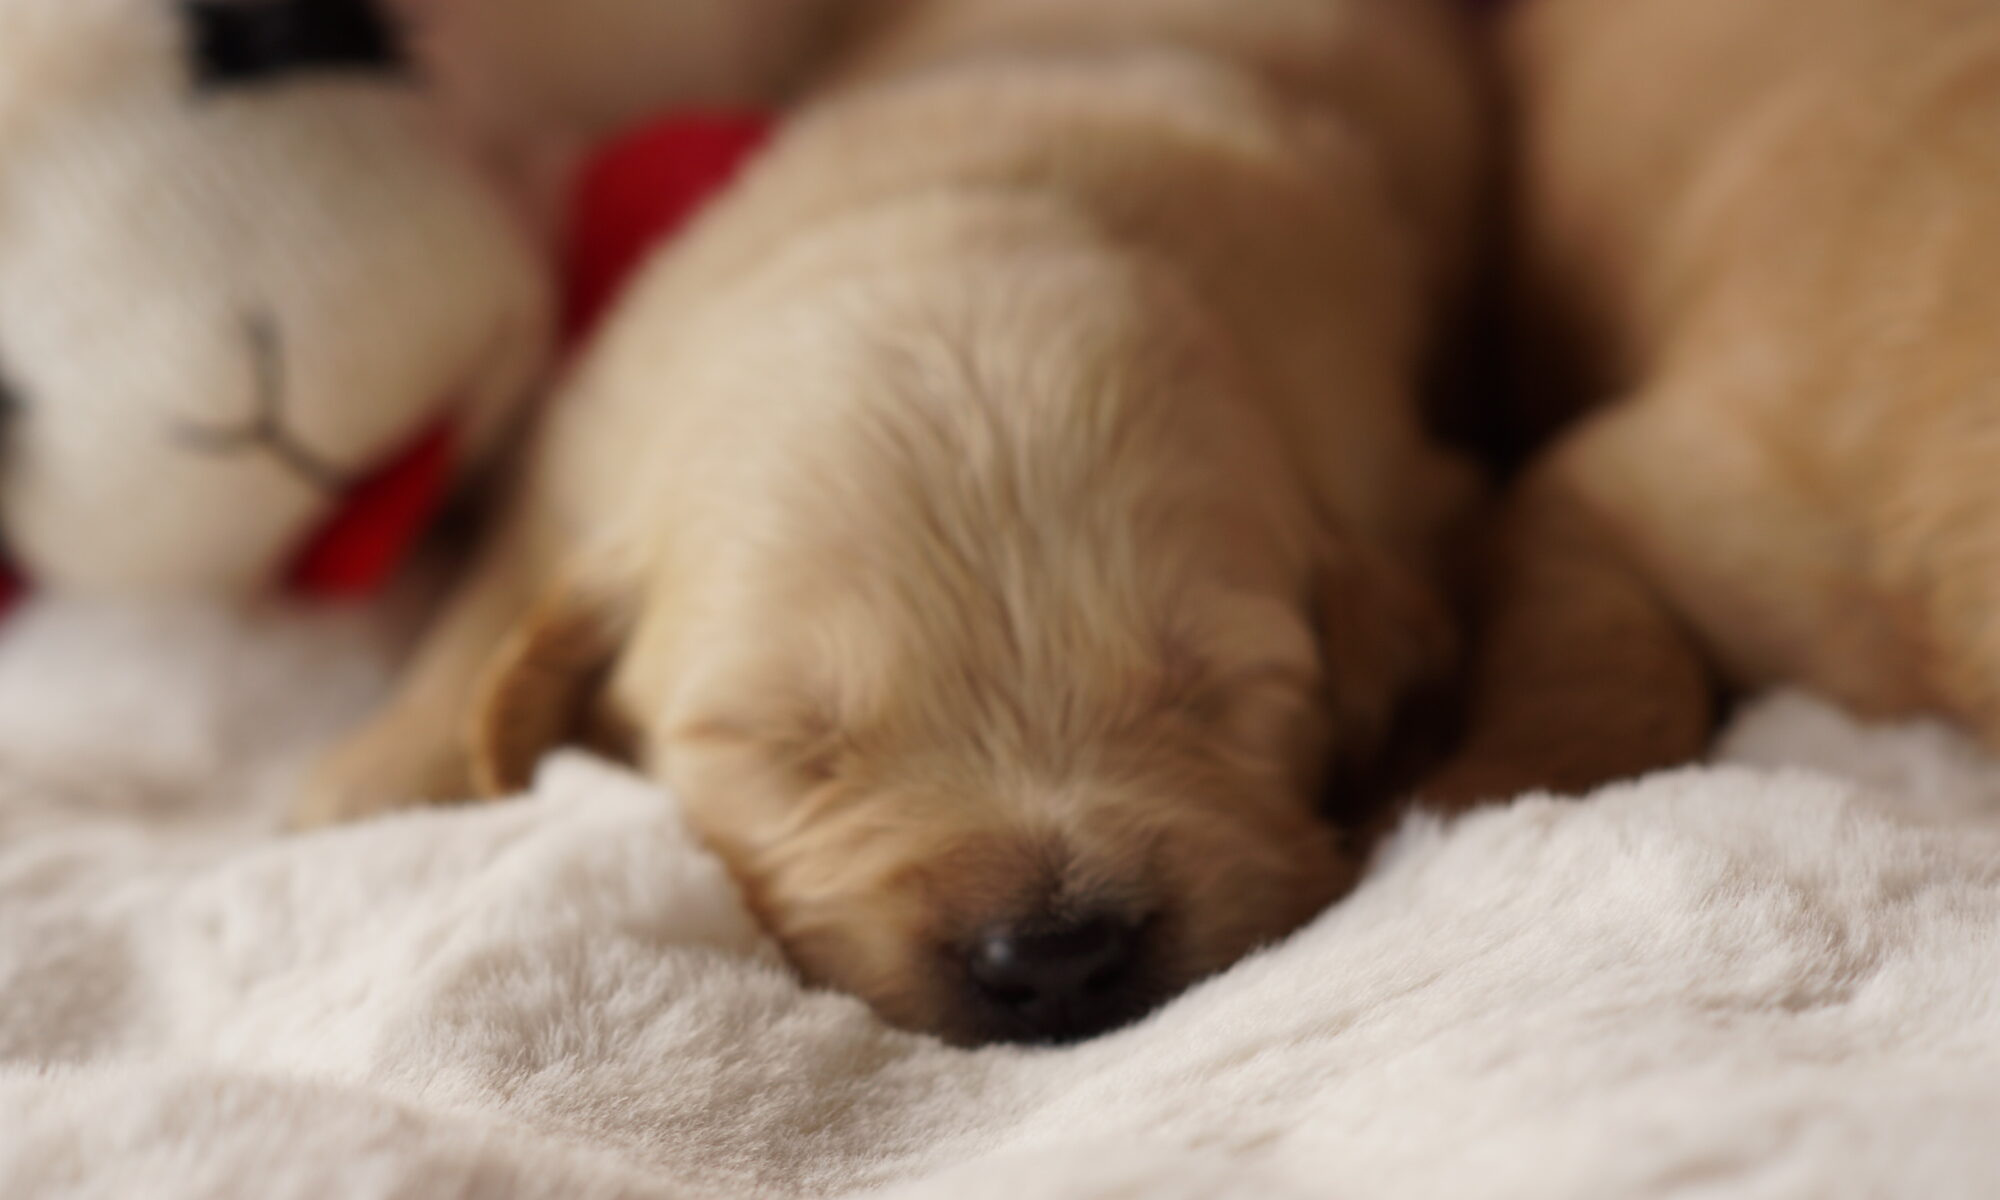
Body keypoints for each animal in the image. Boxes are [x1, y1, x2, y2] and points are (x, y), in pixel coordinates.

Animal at [296, 0, 1488, 1048]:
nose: (1056, 954)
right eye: (784, 743)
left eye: (1220, 689)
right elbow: (480, 631)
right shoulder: (579, 445)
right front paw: (359, 791)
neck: (971, 210)